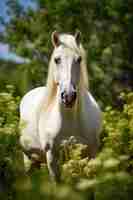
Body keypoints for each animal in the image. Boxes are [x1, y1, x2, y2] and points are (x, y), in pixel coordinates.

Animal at [19, 30, 102, 182]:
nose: (68, 96)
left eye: (79, 59)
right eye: (57, 60)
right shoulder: (52, 159)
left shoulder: (90, 156)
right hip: (29, 160)